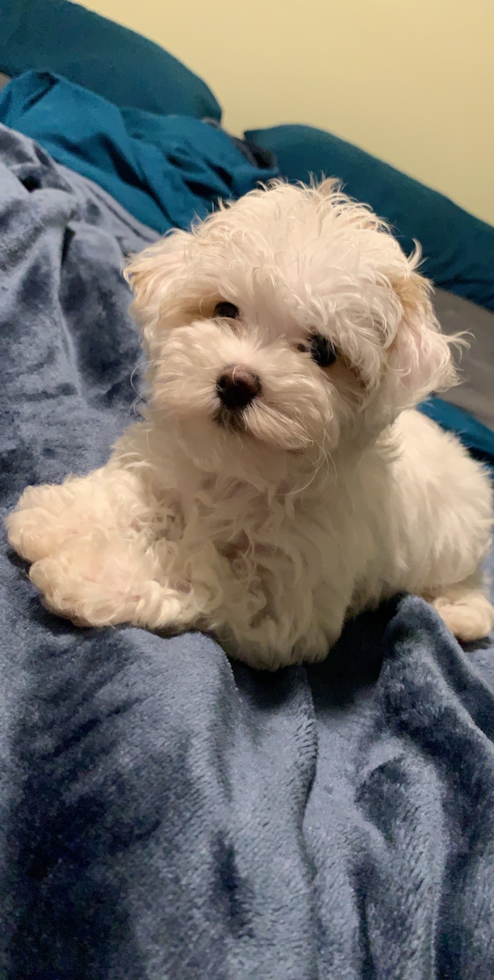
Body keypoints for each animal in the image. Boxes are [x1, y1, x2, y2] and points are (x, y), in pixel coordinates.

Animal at [7, 180, 494, 668]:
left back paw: (460, 615)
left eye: (323, 350)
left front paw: (91, 573)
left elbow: (192, 571)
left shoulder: (283, 597)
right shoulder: (163, 470)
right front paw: (58, 517)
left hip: (456, 544)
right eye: (226, 309)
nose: (237, 382)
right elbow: (127, 493)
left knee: (467, 582)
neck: (239, 471)